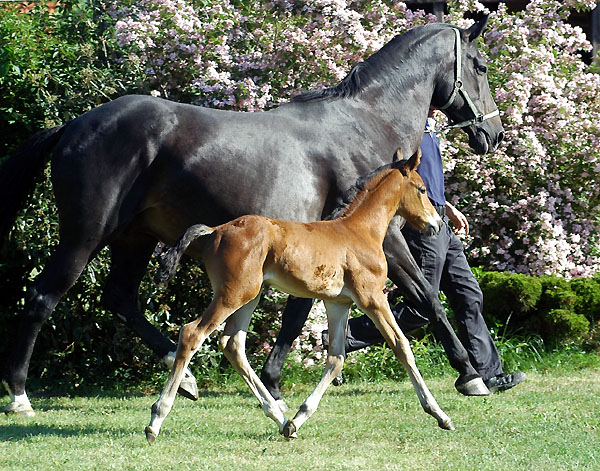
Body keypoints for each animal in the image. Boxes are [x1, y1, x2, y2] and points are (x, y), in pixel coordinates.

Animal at [146, 149, 454, 444]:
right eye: (422, 189)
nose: (437, 224)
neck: (359, 232)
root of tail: (214, 231)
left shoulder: (339, 303)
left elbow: (336, 358)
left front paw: (298, 418)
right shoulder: (372, 298)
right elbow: (401, 345)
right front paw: (440, 414)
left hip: (249, 296)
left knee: (232, 344)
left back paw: (281, 420)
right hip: (233, 294)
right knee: (192, 333)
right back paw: (156, 420)